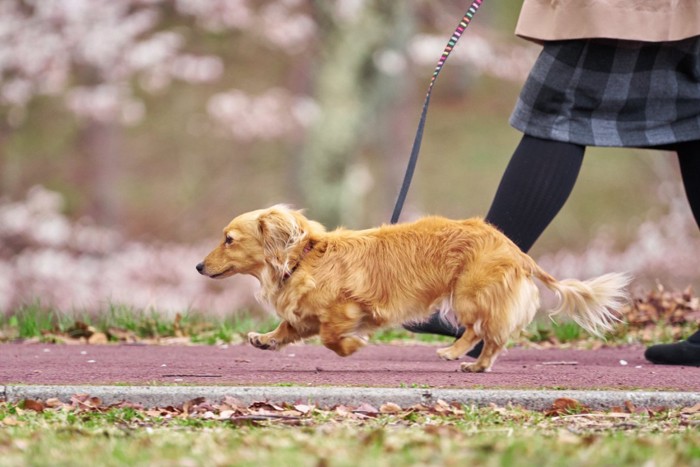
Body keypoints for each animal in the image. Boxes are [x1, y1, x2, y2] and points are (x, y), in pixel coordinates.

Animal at [196, 205, 628, 372]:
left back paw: (459, 355)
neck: (302, 258)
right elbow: (289, 328)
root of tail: (516, 251)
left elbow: (332, 338)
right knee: (487, 335)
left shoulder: (346, 309)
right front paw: (265, 339)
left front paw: (354, 346)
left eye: (229, 239)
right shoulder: (304, 317)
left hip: (468, 294)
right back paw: (471, 361)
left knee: (482, 331)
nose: (199, 266)